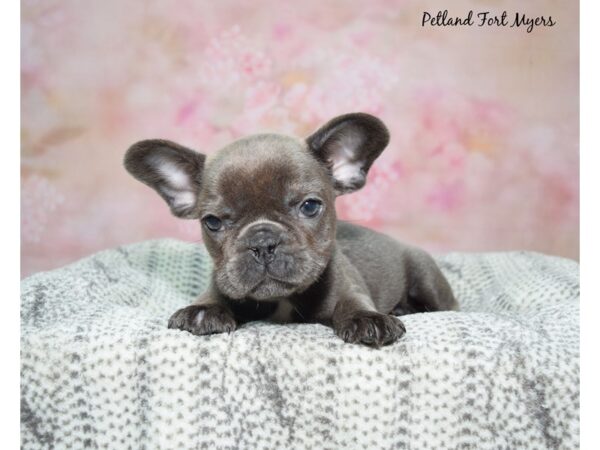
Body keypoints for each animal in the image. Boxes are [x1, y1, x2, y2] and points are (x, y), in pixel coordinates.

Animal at [125, 113, 454, 348]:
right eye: (213, 222)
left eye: (309, 206)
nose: (262, 242)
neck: (280, 302)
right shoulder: (222, 281)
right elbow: (211, 295)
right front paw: (202, 309)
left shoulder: (349, 285)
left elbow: (354, 301)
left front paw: (368, 318)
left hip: (426, 277)